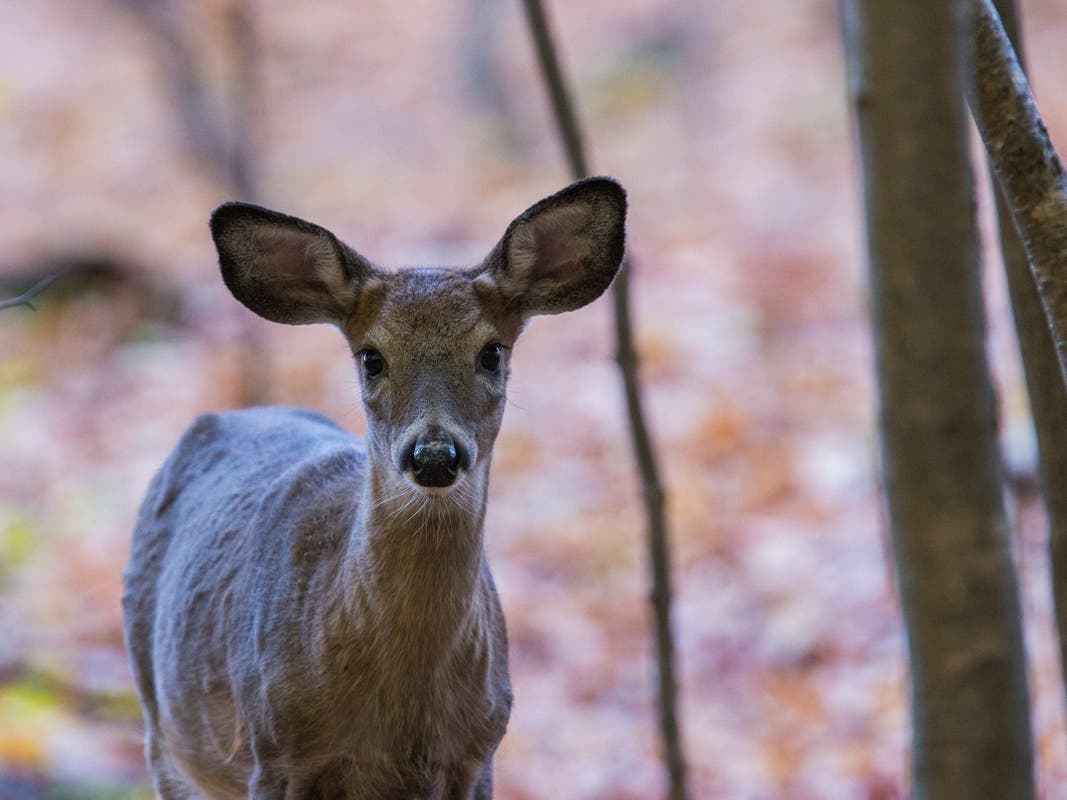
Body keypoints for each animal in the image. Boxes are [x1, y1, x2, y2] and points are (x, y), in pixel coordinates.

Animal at [122, 178, 627, 797]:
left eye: (491, 353)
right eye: (372, 358)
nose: (433, 454)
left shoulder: (480, 752)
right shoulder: (275, 753)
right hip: (165, 736)